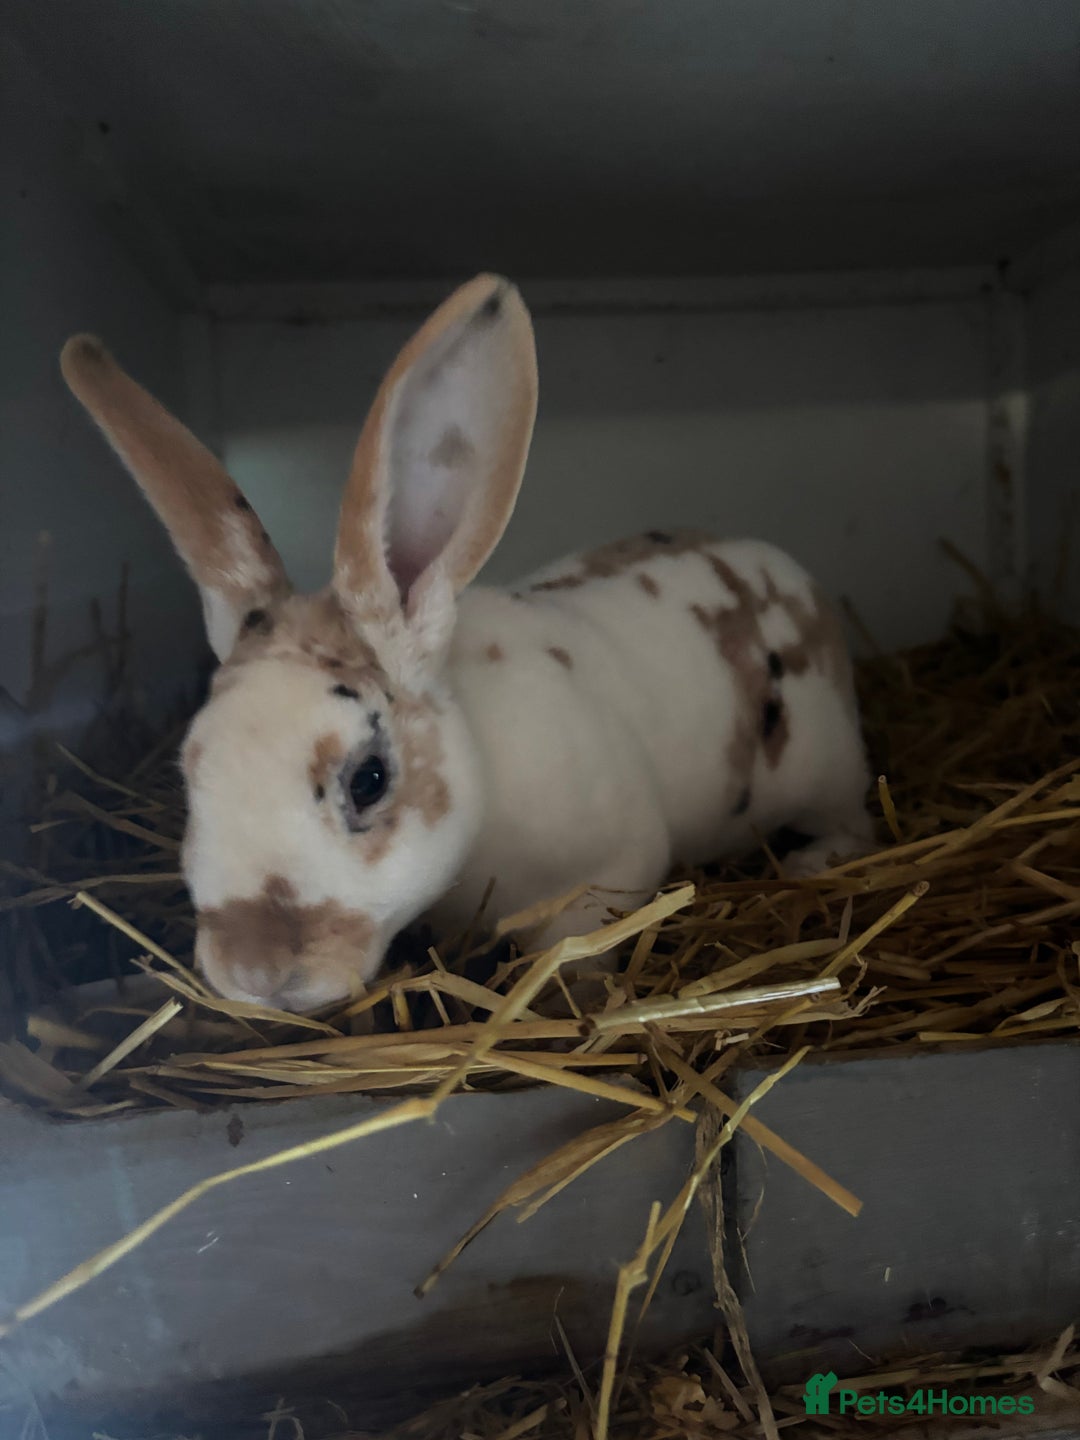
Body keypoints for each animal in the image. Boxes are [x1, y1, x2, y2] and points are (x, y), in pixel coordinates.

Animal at [60, 273, 873, 1014]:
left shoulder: (607, 875)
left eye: (369, 780)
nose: (259, 974)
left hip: (828, 771)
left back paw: (812, 862)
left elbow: (577, 954)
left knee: (854, 819)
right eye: (188, 771)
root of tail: (792, 574)